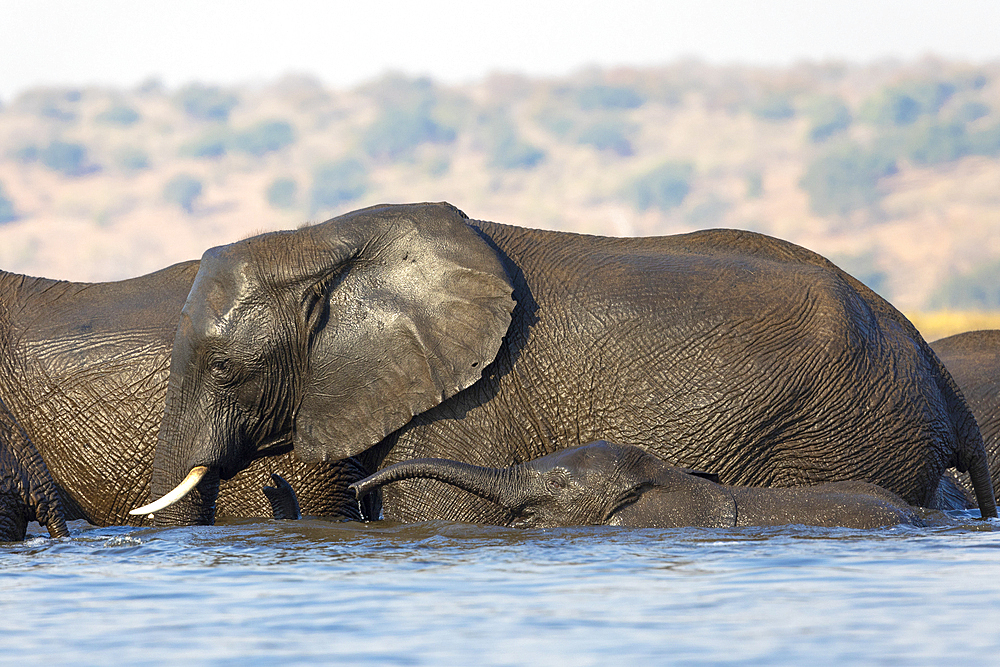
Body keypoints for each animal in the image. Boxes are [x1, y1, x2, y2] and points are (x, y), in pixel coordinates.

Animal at [137, 204, 996, 528]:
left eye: (224, 367)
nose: (272, 484)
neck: (326, 240)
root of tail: (929, 356)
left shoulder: (469, 401)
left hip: (845, 428)